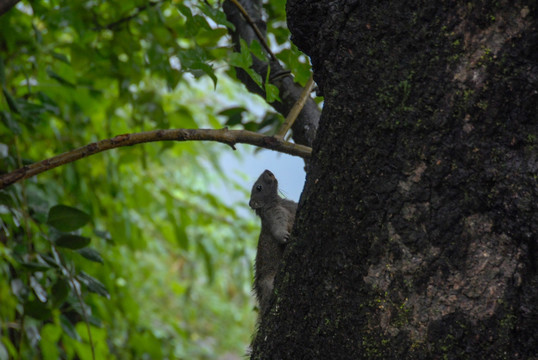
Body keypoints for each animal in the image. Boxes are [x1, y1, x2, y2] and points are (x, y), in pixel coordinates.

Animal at [248, 170, 298, 316]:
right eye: (258, 187)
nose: (268, 172)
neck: (279, 202)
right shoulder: (274, 216)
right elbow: (278, 231)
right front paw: (286, 237)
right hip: (268, 283)